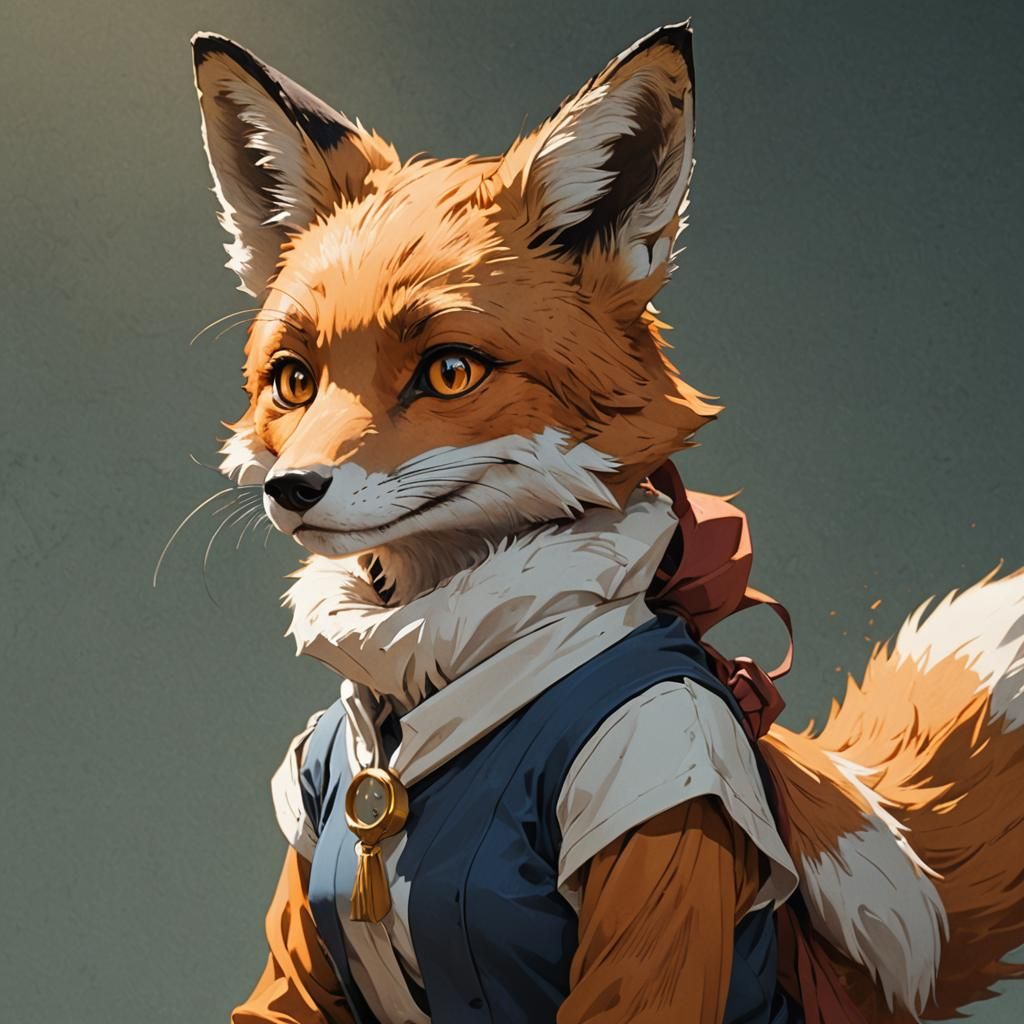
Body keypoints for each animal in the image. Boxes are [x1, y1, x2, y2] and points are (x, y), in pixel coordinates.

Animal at [190, 20, 1024, 1024]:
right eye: (293, 380)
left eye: (449, 372)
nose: (293, 488)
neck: (432, 683)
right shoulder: (309, 861)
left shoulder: (665, 779)